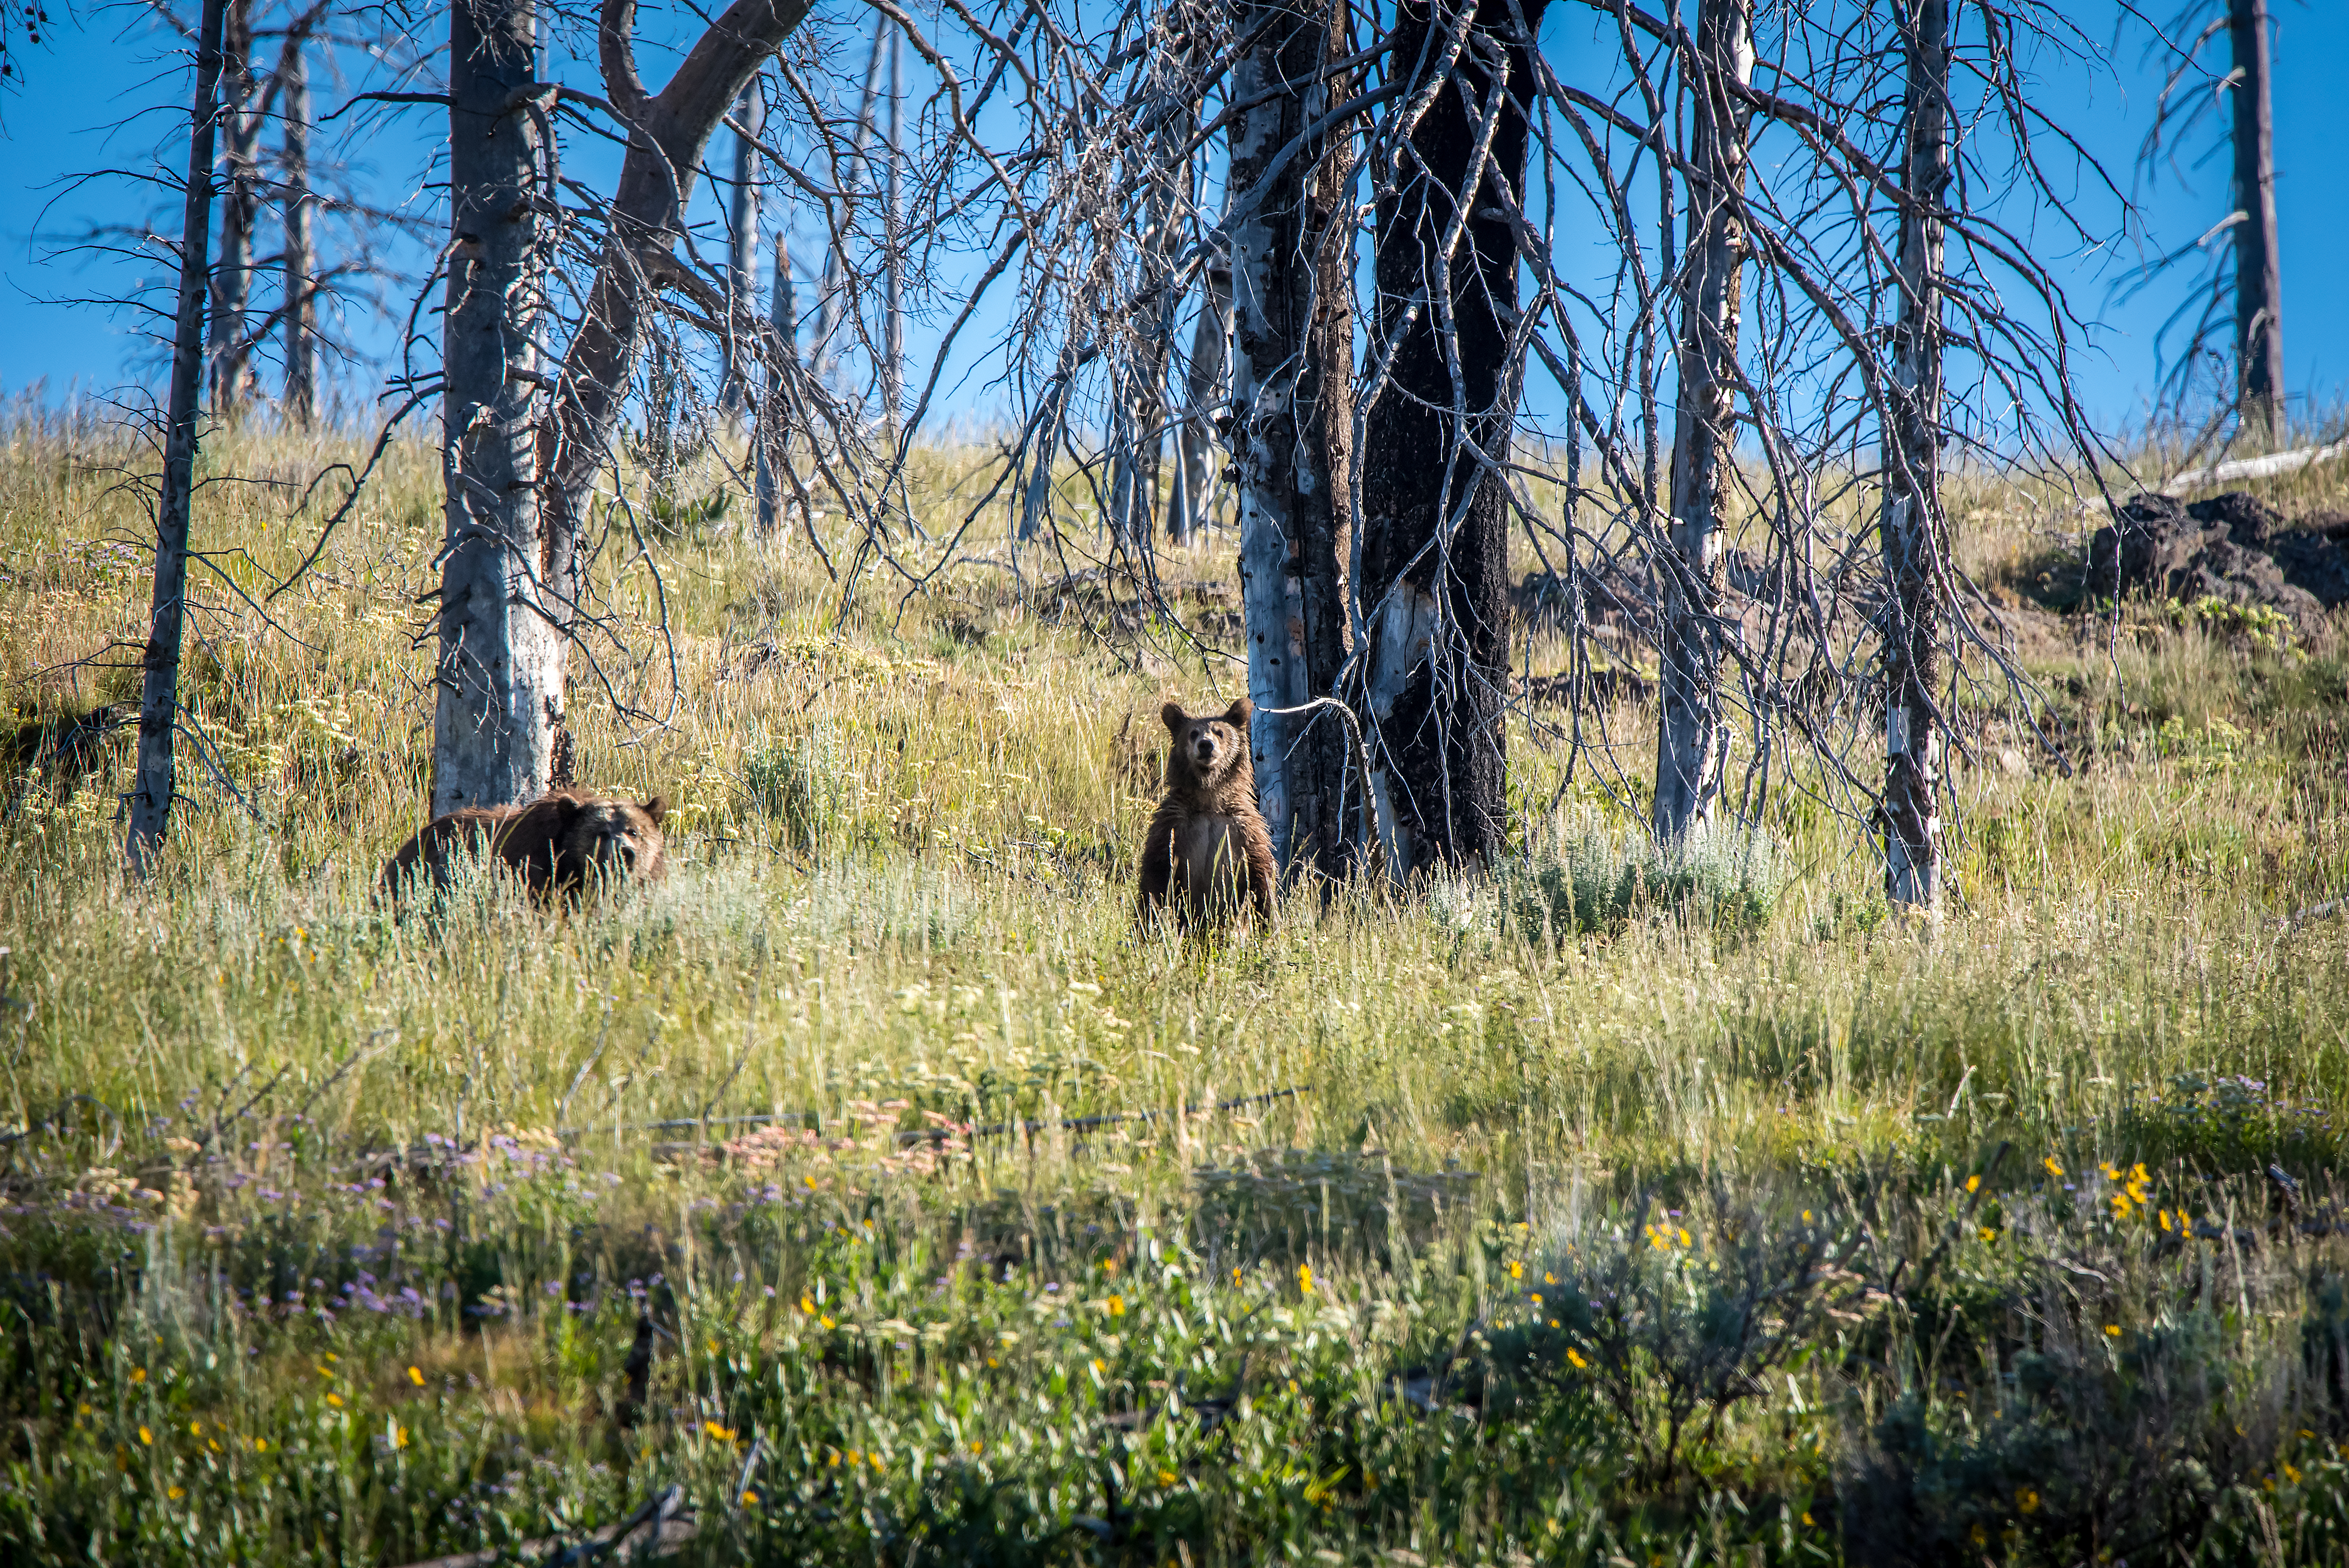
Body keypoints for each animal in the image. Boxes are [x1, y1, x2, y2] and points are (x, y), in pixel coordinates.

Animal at [1137, 698, 1276, 930]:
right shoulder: (1173, 825)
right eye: (1193, 733)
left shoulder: (1245, 830)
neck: (1209, 802)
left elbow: (1261, 875)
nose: (1206, 745)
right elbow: (1156, 874)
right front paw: (1152, 920)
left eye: (1220, 732)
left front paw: (1268, 921)